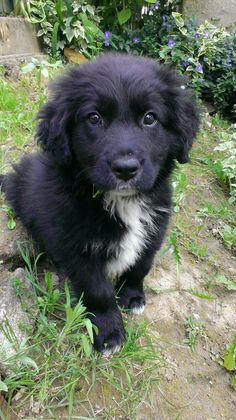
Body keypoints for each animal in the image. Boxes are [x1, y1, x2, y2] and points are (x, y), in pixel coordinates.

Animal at [2, 52, 200, 354]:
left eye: (150, 118)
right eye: (93, 118)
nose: (126, 169)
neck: (121, 202)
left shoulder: (154, 231)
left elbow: (141, 266)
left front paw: (132, 297)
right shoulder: (75, 247)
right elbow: (98, 290)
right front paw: (108, 332)